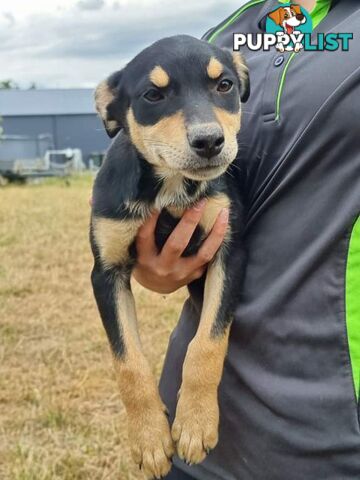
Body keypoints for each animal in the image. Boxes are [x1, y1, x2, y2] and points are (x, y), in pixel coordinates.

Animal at [89, 34, 249, 480]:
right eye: (153, 95)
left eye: (224, 85)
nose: (210, 141)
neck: (170, 188)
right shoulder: (105, 273)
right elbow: (128, 361)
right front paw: (149, 439)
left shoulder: (229, 254)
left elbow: (207, 344)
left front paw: (195, 423)